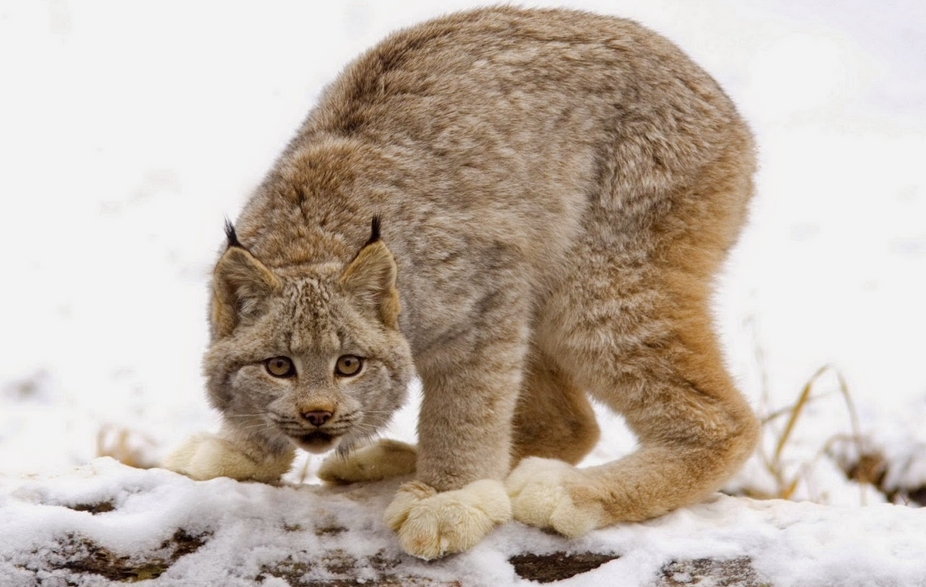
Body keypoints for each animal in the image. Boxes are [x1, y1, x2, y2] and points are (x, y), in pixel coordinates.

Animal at [163, 6, 759, 559]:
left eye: (349, 365)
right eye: (278, 367)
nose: (318, 415)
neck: (306, 242)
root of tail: (704, 80)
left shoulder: (487, 296)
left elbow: (467, 406)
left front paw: (450, 496)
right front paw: (243, 452)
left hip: (594, 285)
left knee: (729, 421)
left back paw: (566, 490)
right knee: (572, 424)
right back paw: (399, 462)